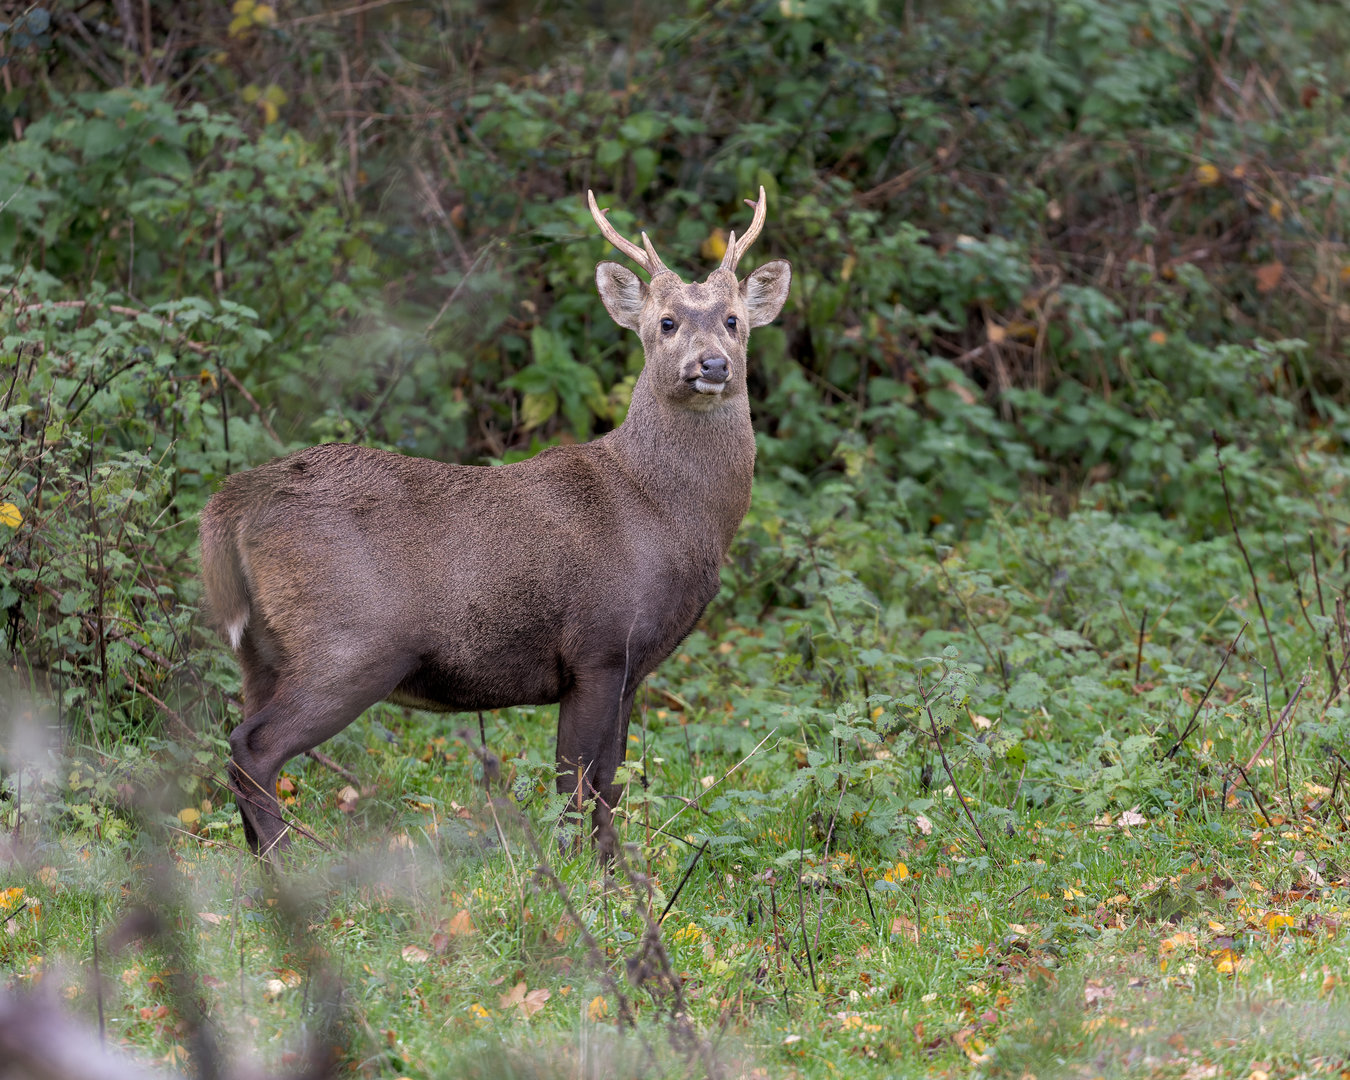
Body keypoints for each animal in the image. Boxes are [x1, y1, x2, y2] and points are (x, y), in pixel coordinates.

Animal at [198, 188, 791, 865]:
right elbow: (575, 780)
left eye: (734, 320)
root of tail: (231, 504)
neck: (663, 513)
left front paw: (611, 867)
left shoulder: (633, 667)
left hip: (260, 652)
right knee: (252, 748)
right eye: (666, 322)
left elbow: (609, 782)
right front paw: (578, 872)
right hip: (348, 642)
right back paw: (287, 864)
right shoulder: (597, 645)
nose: (712, 364)